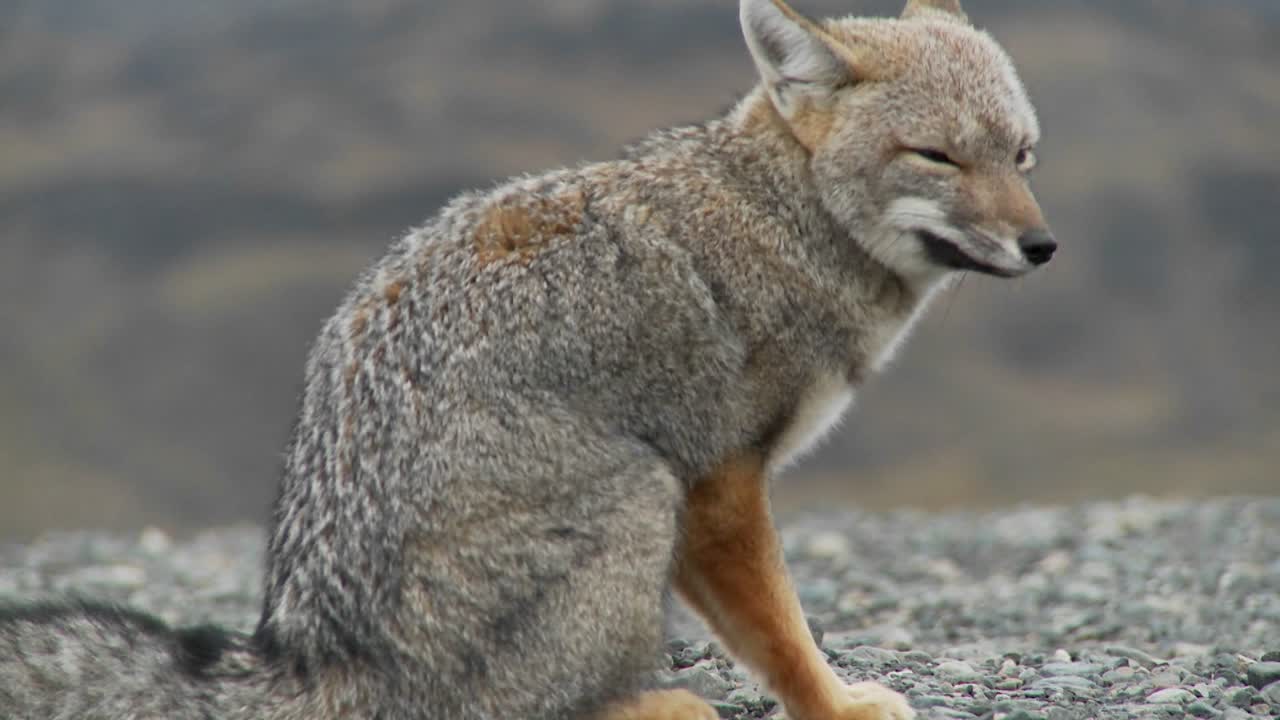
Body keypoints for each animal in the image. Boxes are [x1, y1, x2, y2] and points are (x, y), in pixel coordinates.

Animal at [0, 0, 1053, 718]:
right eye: (937, 157)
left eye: (1023, 155)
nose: (1043, 248)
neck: (781, 212)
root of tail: (316, 654)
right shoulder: (717, 479)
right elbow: (782, 633)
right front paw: (832, 704)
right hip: (642, 493)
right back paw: (659, 704)